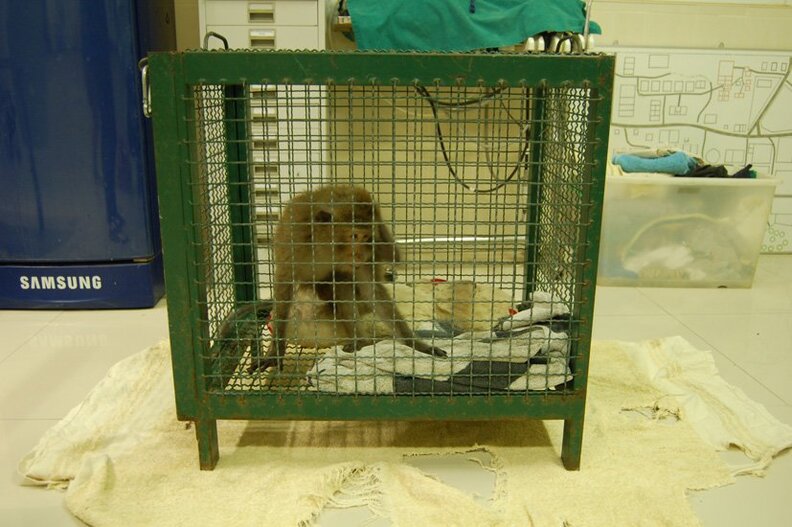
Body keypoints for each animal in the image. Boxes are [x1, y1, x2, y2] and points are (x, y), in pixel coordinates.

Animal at [250, 184, 447, 372]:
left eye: (366, 237)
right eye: (354, 235)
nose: (360, 254)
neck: (325, 246)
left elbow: (372, 290)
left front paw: (415, 344)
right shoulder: (294, 244)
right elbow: (284, 289)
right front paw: (275, 351)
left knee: (343, 281)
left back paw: (360, 340)